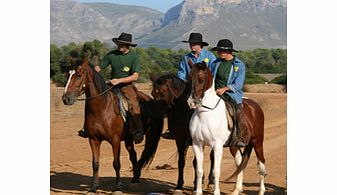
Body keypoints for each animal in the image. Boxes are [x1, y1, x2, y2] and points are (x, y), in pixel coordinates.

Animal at [61, 56, 164, 193]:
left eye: (79, 75)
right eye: (68, 74)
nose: (66, 99)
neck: (102, 108)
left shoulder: (115, 140)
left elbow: (116, 163)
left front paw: (118, 187)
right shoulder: (93, 139)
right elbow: (95, 164)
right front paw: (94, 187)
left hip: (150, 136)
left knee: (143, 154)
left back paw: (136, 181)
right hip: (128, 139)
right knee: (133, 156)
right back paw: (134, 180)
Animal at [186, 62, 266, 195]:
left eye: (201, 80)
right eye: (189, 79)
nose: (192, 102)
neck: (205, 113)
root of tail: (255, 106)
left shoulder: (217, 146)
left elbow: (216, 171)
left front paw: (216, 192)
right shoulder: (197, 144)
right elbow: (199, 170)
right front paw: (198, 191)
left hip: (257, 142)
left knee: (261, 163)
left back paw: (261, 191)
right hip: (234, 146)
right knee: (240, 163)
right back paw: (236, 190)